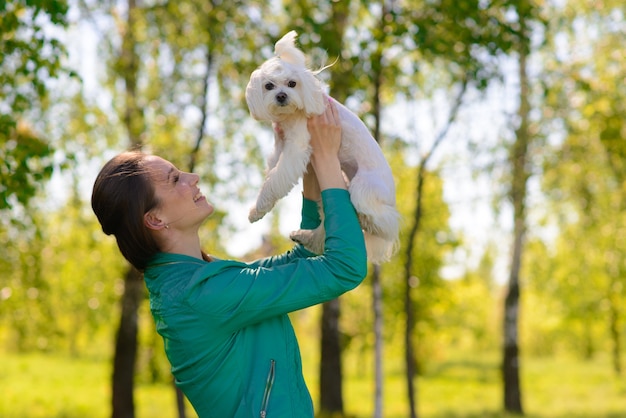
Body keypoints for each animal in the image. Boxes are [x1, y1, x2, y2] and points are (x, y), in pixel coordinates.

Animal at [245, 31, 400, 262]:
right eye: (269, 85)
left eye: (292, 83)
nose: (281, 96)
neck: (290, 116)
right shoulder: (281, 144)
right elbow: (271, 175)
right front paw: (257, 208)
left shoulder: (295, 147)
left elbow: (275, 180)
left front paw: (259, 208)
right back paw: (306, 237)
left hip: (362, 189)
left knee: (386, 223)